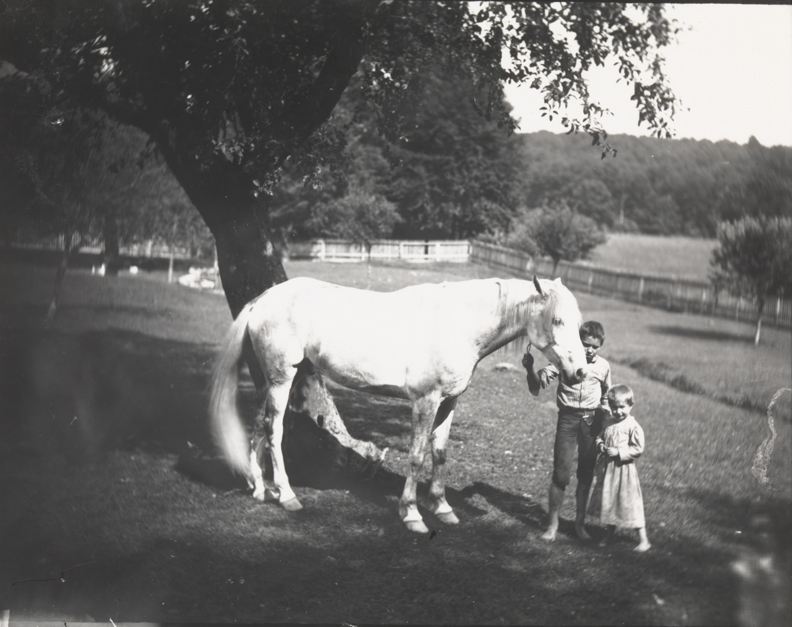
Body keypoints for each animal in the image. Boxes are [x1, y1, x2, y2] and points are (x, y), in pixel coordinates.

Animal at [209, 274, 587, 533]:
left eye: (580, 323)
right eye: (557, 320)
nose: (580, 372)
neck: (456, 325)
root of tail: (263, 299)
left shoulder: (448, 403)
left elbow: (439, 453)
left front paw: (443, 508)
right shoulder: (425, 402)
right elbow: (417, 456)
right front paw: (412, 514)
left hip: (276, 379)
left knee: (259, 425)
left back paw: (259, 489)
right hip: (282, 378)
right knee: (274, 429)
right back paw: (286, 495)